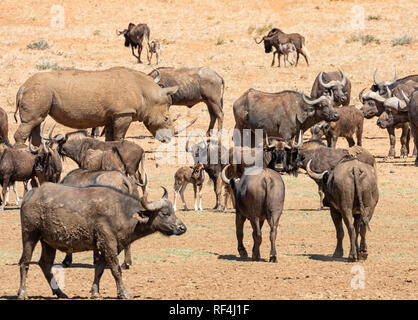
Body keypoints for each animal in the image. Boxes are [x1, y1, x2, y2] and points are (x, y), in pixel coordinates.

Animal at [13, 67, 198, 145]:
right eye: (166, 118)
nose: (168, 139)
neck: (148, 94)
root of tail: (22, 87)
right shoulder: (124, 113)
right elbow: (119, 137)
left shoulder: (113, 115)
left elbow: (110, 138)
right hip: (39, 91)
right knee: (30, 123)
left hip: (39, 91)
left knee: (36, 122)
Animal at [17, 185, 185, 300]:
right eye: (165, 213)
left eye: (173, 211)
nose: (182, 228)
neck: (122, 212)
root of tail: (30, 194)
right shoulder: (108, 244)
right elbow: (116, 270)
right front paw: (124, 293)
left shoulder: (109, 246)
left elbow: (99, 269)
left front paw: (95, 292)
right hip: (30, 235)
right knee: (25, 262)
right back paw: (22, 293)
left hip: (48, 242)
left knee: (45, 264)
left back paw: (60, 292)